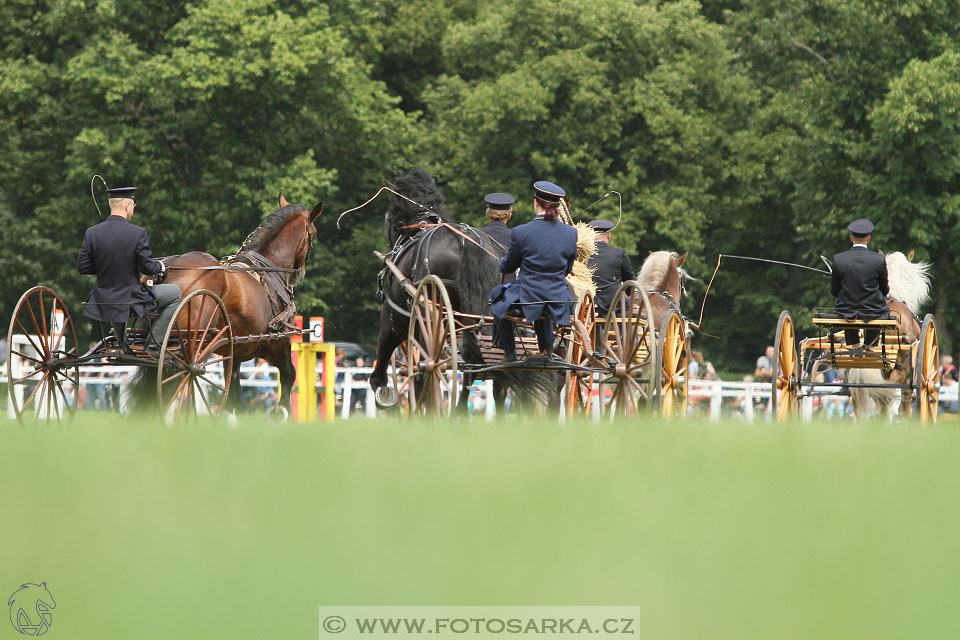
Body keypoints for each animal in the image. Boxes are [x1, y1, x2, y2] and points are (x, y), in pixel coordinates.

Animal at [151, 196, 322, 416]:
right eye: (313, 236)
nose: (300, 273)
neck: (269, 267)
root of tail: (171, 268)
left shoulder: (234, 353)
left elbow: (232, 392)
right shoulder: (277, 343)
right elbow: (289, 375)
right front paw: (281, 411)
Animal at [370, 169, 564, 416]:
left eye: (390, 212)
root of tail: (463, 242)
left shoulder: (393, 316)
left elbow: (385, 357)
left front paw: (384, 396)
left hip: (431, 317)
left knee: (434, 366)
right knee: (478, 363)